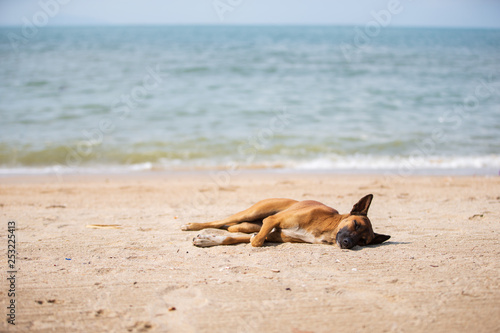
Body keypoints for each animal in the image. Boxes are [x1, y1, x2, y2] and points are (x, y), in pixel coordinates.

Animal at [182, 193, 388, 248]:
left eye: (363, 241)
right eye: (355, 224)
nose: (347, 243)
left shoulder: (274, 235)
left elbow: (237, 239)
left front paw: (207, 240)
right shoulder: (273, 221)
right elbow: (257, 241)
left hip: (248, 223)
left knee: (232, 229)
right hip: (252, 213)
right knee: (218, 222)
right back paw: (192, 225)